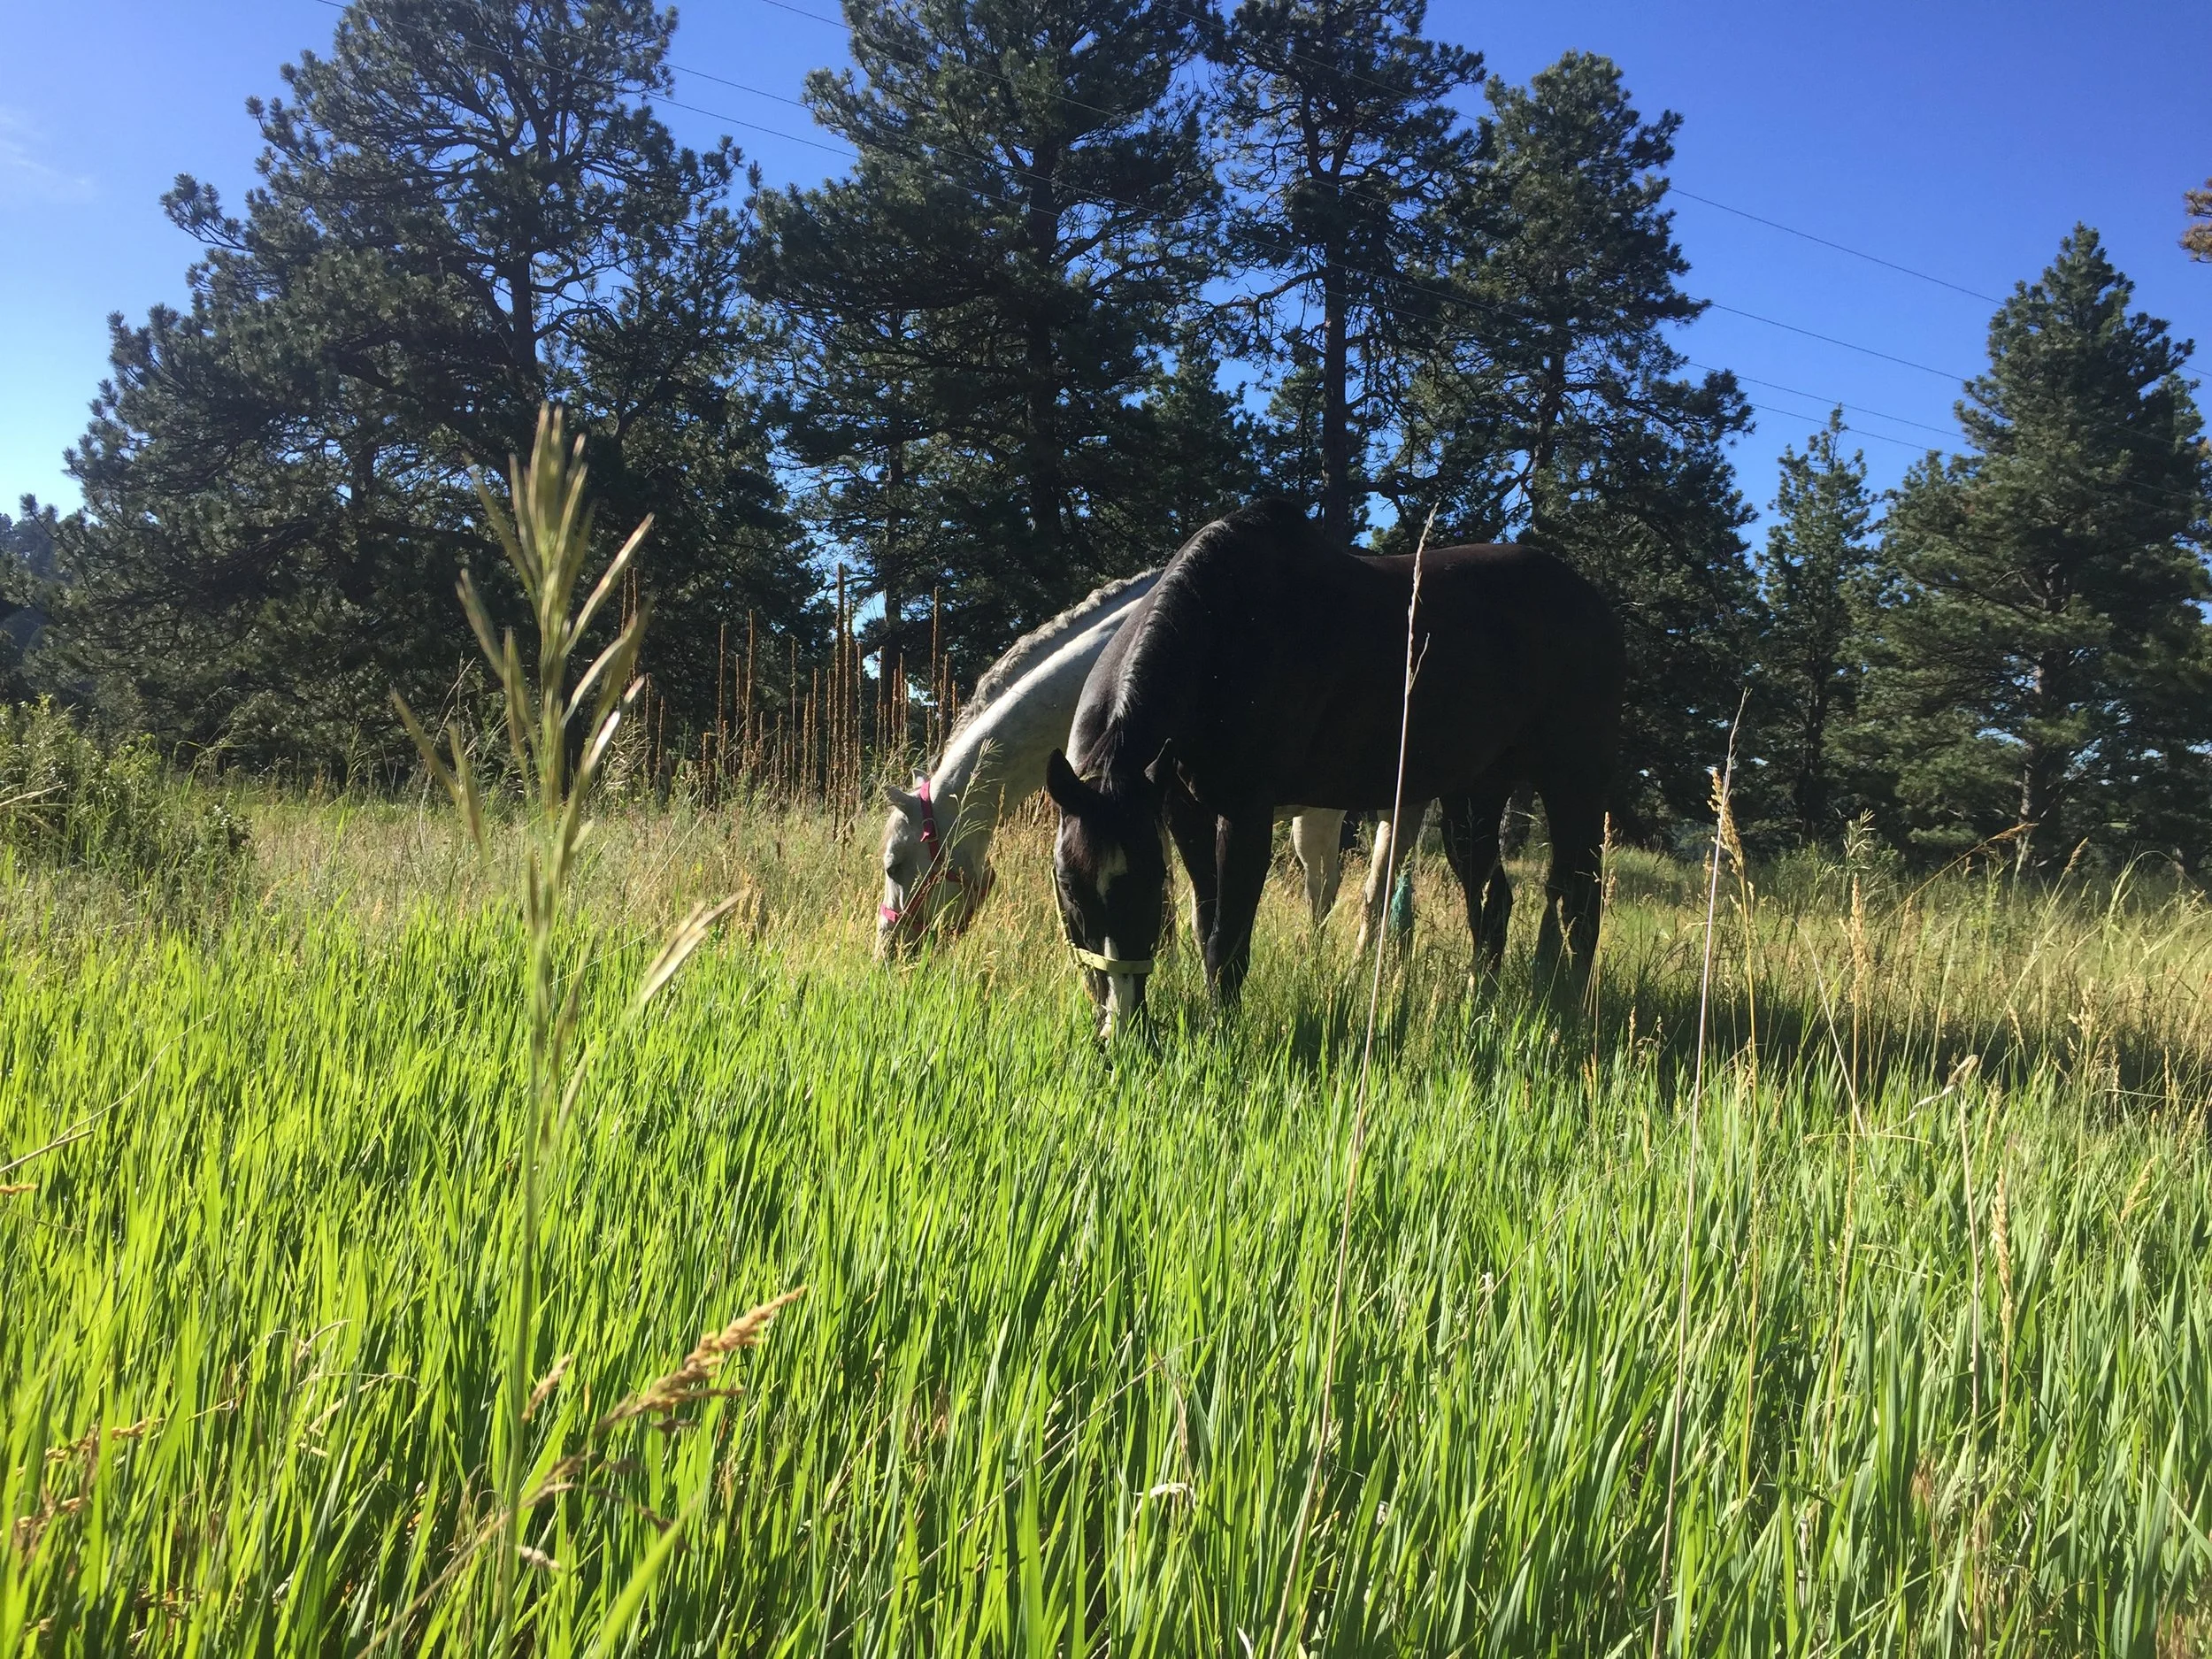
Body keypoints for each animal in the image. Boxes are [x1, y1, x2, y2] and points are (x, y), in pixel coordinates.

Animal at [1044, 500, 1623, 1034]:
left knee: (1579, 901)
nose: (1119, 1024)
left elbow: (1226, 943)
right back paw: (1480, 1008)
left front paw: (1223, 1034)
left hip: (1574, 784)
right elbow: (1206, 922)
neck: (1221, 635)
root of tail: (1592, 604)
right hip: (1475, 795)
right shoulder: (1184, 814)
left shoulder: (1245, 815)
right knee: (1494, 902)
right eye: (1068, 885)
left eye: (1151, 879)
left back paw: (1570, 1012)